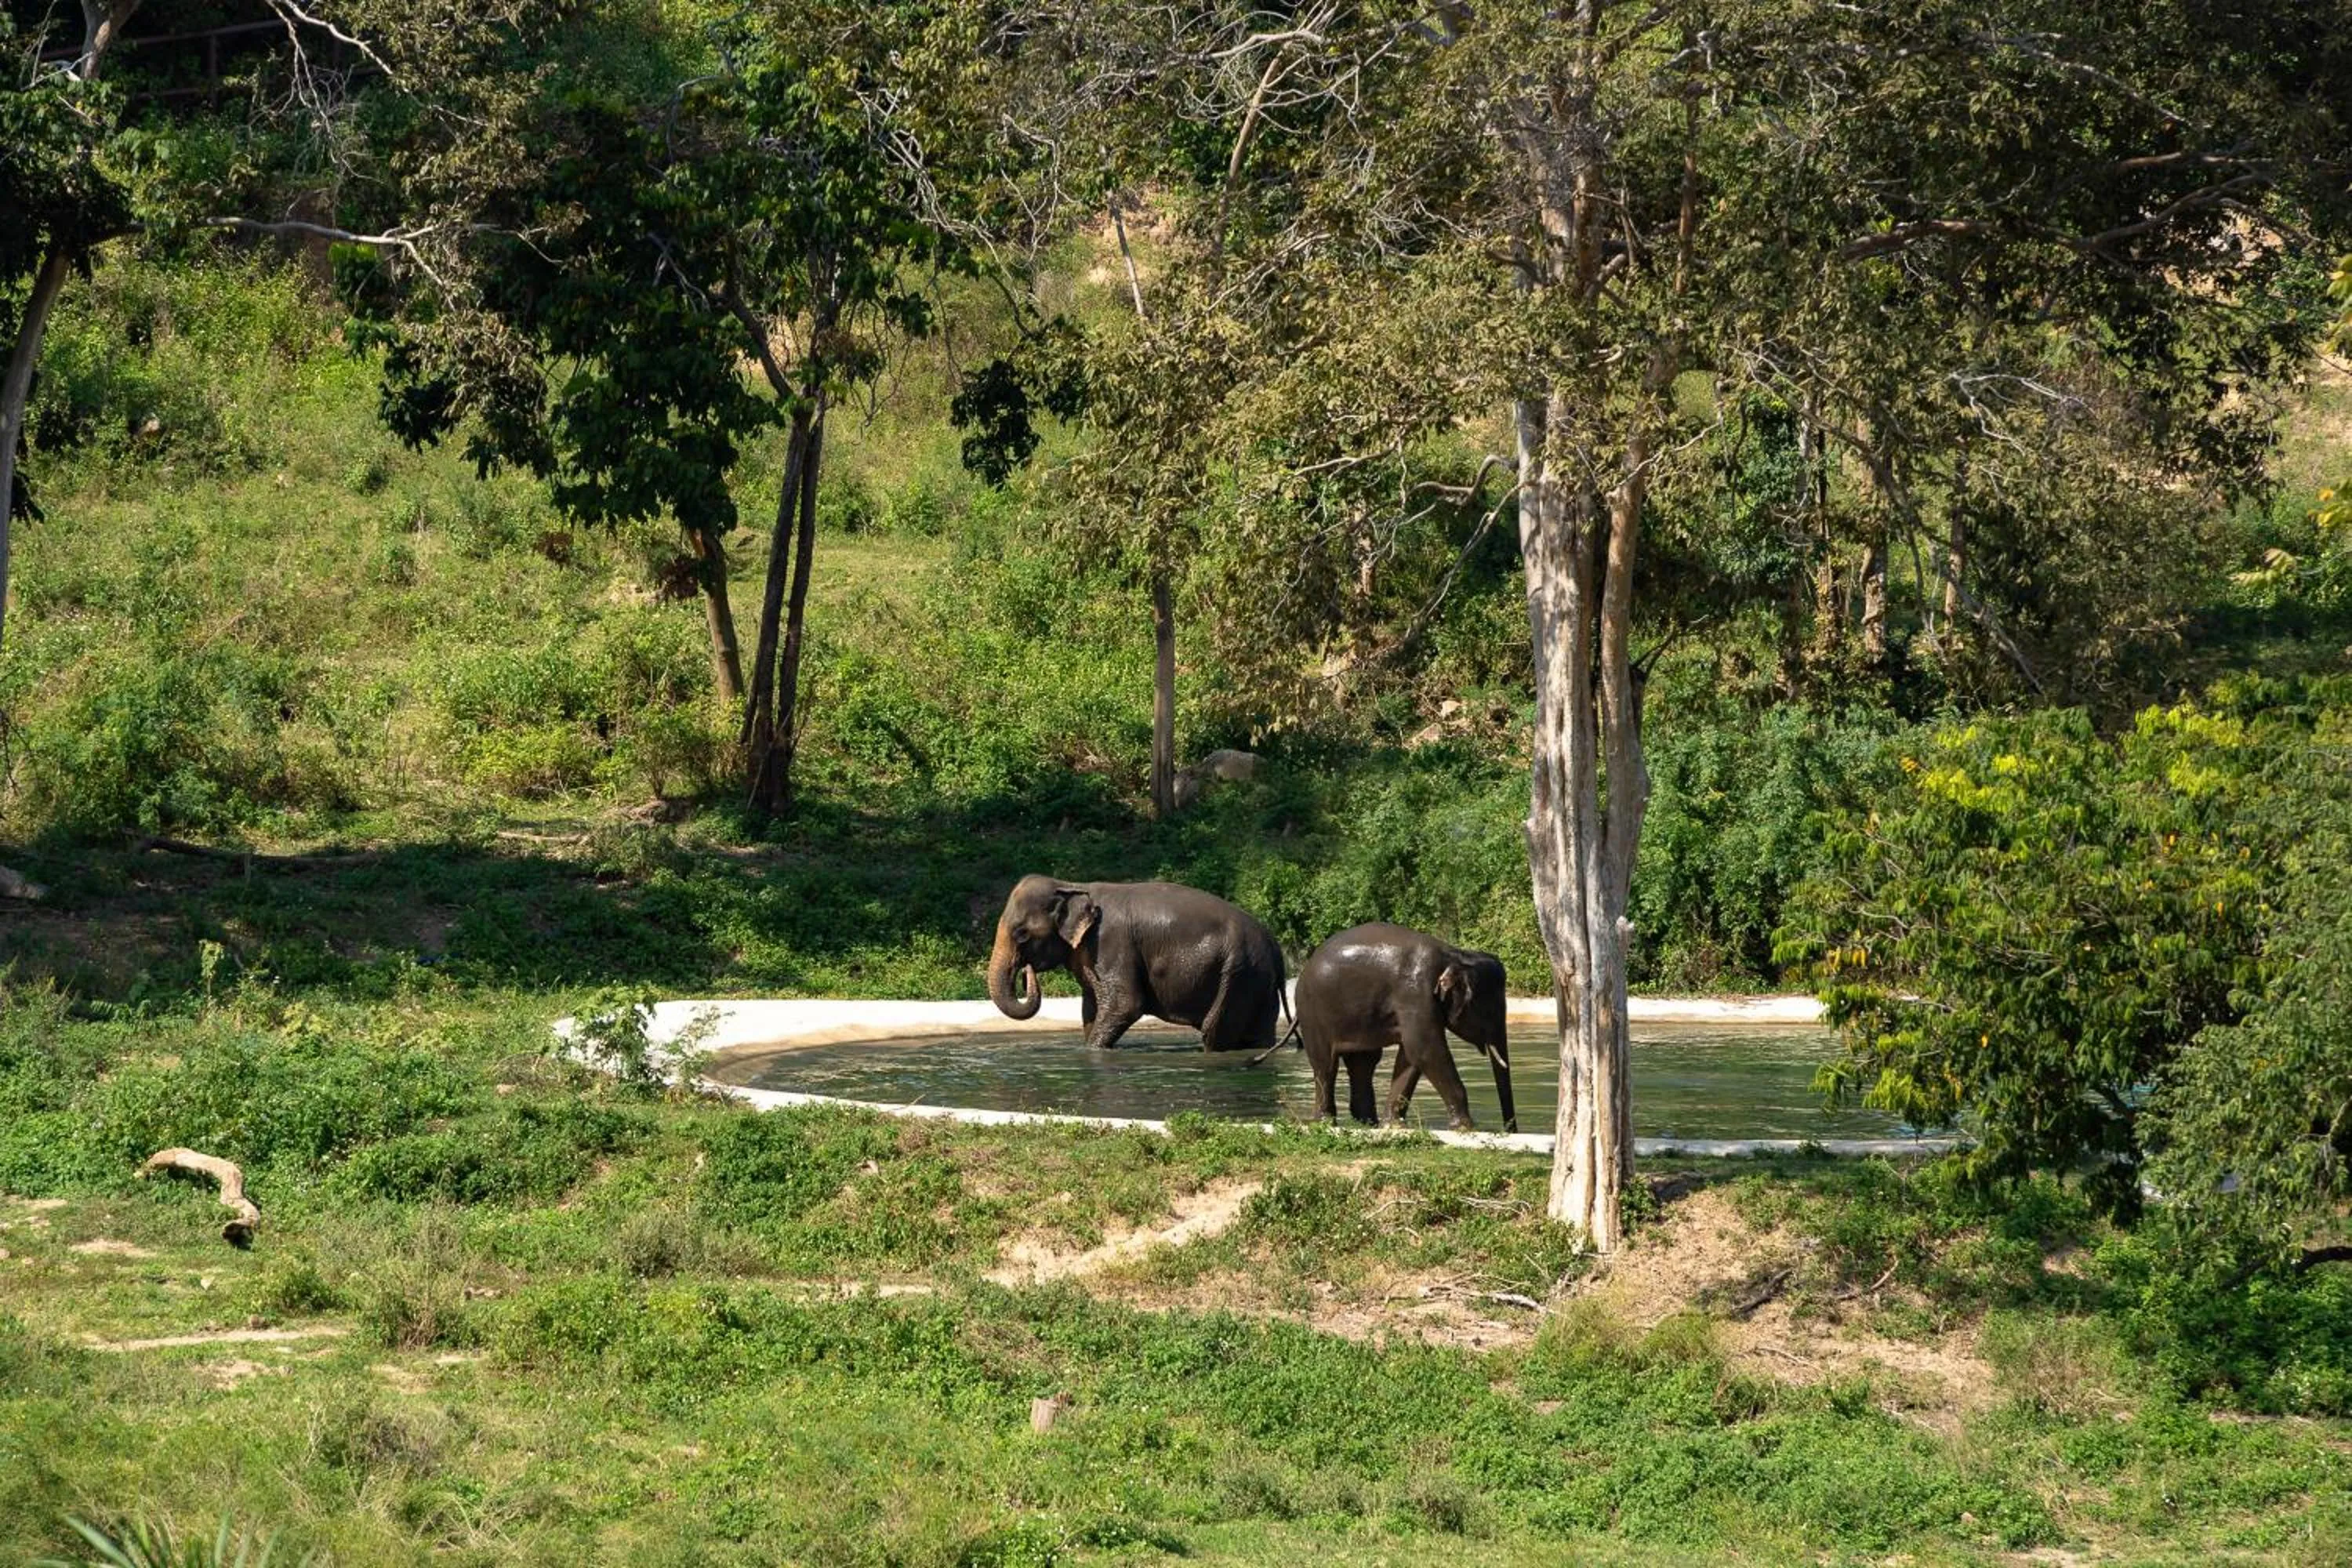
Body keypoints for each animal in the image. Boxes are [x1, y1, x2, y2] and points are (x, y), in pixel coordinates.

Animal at [986, 874, 1289, 1052]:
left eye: (1021, 934)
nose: (1026, 972)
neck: (1073, 885)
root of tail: (1275, 948)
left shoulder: (1111, 942)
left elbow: (1125, 1004)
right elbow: (1091, 1008)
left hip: (1238, 975)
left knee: (1215, 1032)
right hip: (1258, 981)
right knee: (1257, 1033)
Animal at [1293, 922, 1516, 1133]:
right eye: (1490, 1011)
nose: (1510, 1130)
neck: (1457, 956)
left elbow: (1412, 1056)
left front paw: (1393, 1126)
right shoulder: (1415, 993)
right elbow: (1425, 1050)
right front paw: (1466, 1127)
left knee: (1364, 1063)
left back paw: (1369, 1123)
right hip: (1312, 1014)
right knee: (1326, 1065)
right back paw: (1326, 1122)